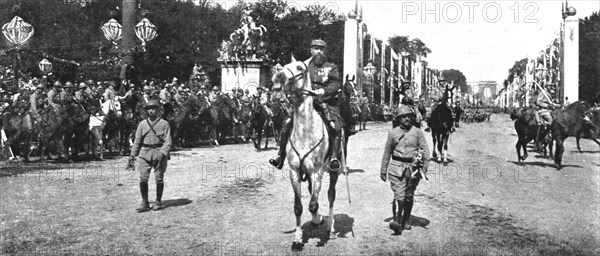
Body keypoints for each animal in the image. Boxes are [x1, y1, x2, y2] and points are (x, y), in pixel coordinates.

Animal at [274, 57, 340, 250]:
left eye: (299, 67)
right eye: (284, 66)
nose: (279, 75)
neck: (305, 131)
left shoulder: (317, 171)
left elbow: (313, 204)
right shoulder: (295, 171)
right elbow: (299, 207)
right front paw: (297, 239)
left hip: (333, 170)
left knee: (331, 195)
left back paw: (330, 228)